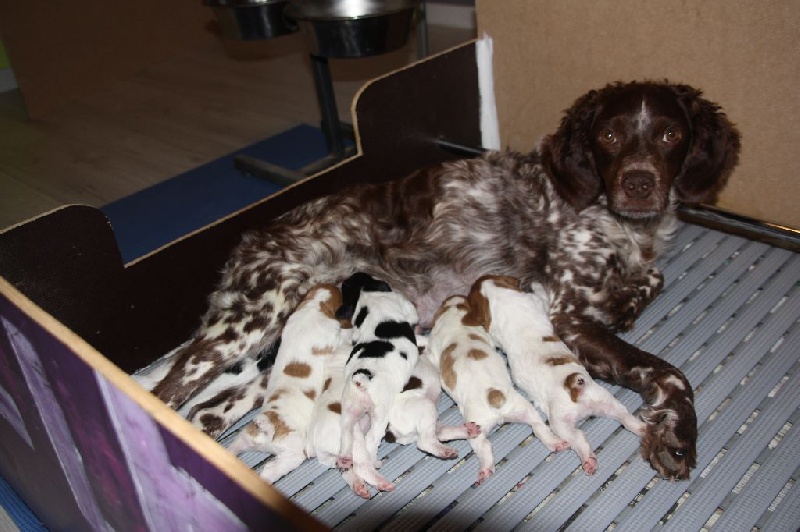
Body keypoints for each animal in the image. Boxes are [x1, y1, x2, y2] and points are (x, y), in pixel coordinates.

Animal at [334, 274, 418, 486]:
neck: (366, 292)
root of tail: (362, 378)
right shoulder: (402, 303)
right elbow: (412, 314)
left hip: (348, 409)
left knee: (346, 434)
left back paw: (344, 458)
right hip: (380, 414)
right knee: (371, 439)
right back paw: (374, 463)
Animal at [424, 288, 568, 484]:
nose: (452, 296)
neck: (456, 313)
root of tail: (494, 395)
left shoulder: (433, 347)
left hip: (476, 425)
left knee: (484, 446)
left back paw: (485, 469)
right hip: (524, 409)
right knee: (539, 426)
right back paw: (556, 442)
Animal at [478, 274, 648, 474]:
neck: (499, 292)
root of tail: (573, 383)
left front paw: (537, 284)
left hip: (559, 422)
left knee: (579, 438)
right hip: (604, 402)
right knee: (624, 418)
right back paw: (641, 430)